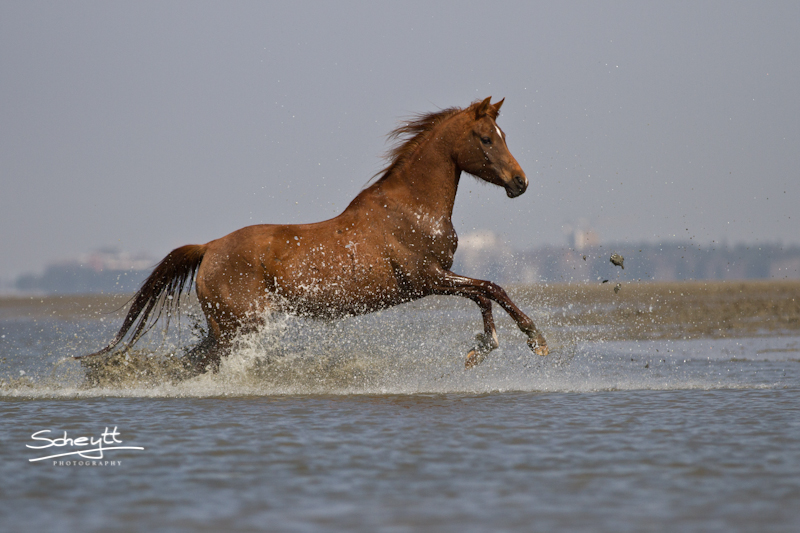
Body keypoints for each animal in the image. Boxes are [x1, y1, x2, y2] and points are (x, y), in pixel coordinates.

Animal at [78, 96, 548, 370]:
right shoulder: (426, 278)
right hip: (239, 327)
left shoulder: (435, 280)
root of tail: (209, 248)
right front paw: (530, 340)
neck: (411, 209)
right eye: (486, 138)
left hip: (227, 328)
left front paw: (482, 348)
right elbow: (490, 288)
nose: (521, 183)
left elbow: (485, 294)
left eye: (502, 134)